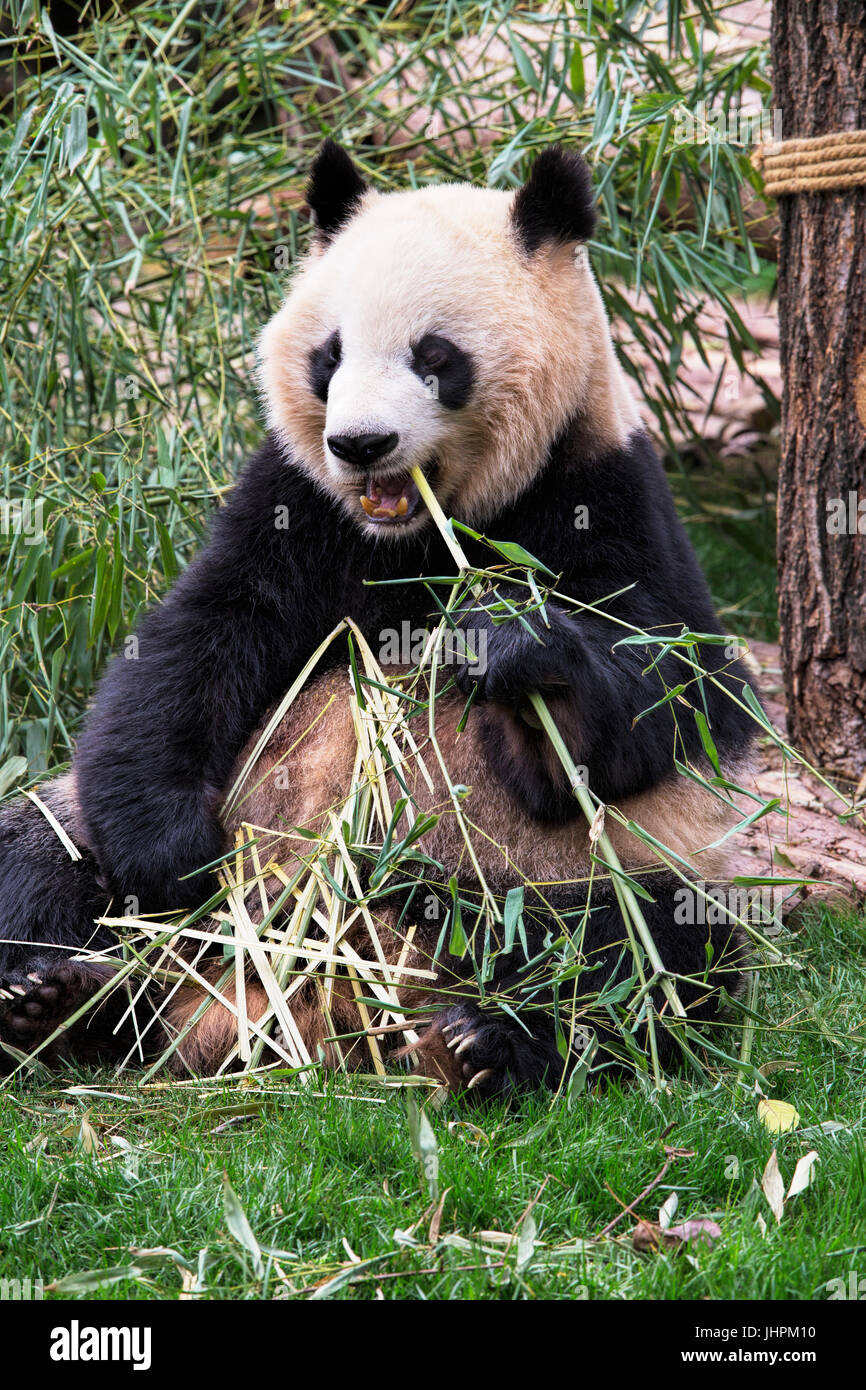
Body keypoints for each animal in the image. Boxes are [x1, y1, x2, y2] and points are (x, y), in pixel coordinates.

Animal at [0, 141, 756, 1095]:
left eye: (436, 356)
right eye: (330, 354)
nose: (361, 444)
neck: (415, 531)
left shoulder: (605, 494)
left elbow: (667, 696)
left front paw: (512, 646)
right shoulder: (293, 507)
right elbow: (191, 645)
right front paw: (172, 856)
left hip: (594, 869)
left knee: (642, 949)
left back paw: (491, 1037)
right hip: (107, 856)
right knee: (39, 852)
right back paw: (61, 998)